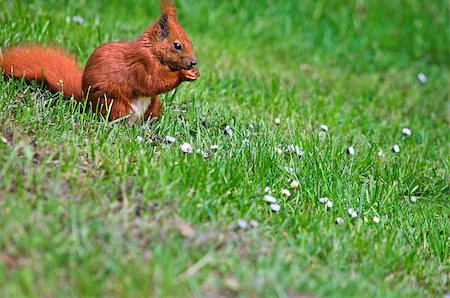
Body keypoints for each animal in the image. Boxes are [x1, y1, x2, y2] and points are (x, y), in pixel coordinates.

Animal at [0, 0, 200, 123]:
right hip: (115, 104)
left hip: (153, 104)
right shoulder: (142, 65)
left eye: (190, 42)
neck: (151, 50)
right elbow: (152, 82)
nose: (193, 62)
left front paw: (193, 73)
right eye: (177, 45)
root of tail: (84, 100)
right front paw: (183, 74)